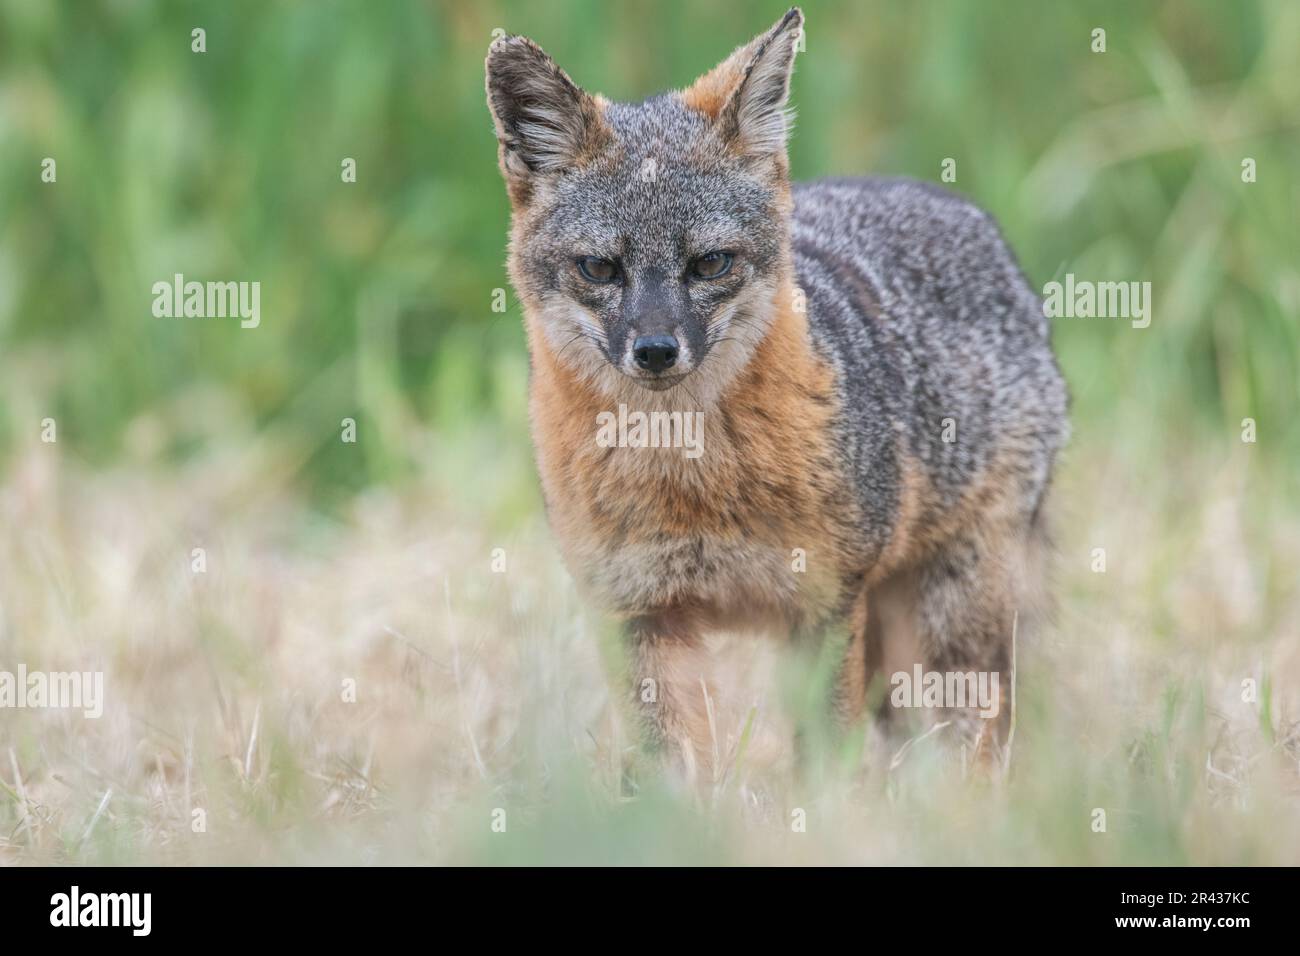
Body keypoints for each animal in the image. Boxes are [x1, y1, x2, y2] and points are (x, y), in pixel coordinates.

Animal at [488, 7, 1066, 780]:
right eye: (599, 268)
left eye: (710, 263)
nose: (655, 350)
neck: (687, 481)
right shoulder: (638, 612)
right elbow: (671, 764)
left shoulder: (827, 602)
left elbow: (823, 757)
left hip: (955, 613)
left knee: (970, 731)